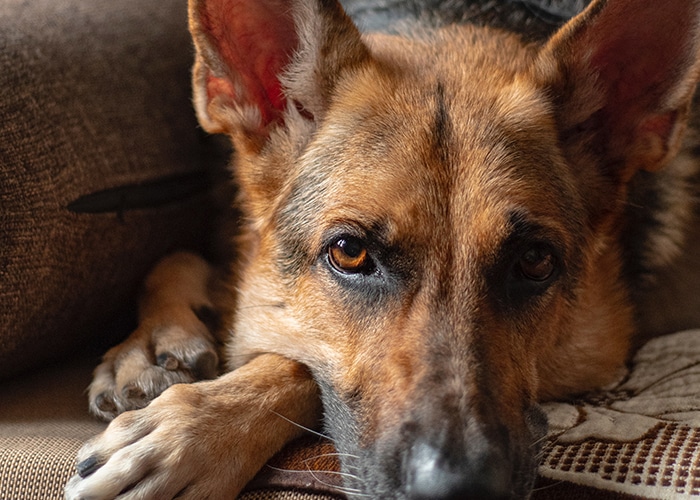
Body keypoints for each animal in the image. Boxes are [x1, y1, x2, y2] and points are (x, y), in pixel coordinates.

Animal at [63, 0, 700, 498]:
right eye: (349, 253)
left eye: (534, 261)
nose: (459, 490)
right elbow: (177, 259)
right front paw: (154, 344)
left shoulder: (602, 346)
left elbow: (295, 362)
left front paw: (191, 433)